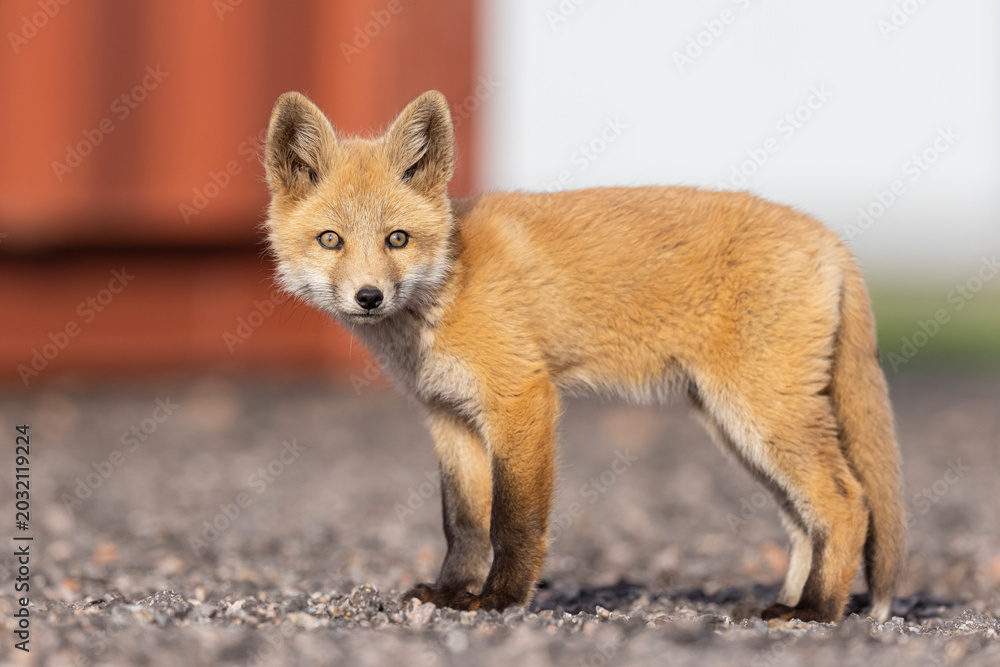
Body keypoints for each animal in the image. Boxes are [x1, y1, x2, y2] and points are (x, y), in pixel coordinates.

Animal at [262, 89, 905, 623]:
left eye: (396, 239)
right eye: (330, 241)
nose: (369, 297)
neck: (450, 282)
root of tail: (830, 238)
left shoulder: (523, 398)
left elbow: (513, 521)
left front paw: (500, 599)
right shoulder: (450, 417)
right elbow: (463, 524)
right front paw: (450, 594)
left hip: (763, 414)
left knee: (848, 503)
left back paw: (819, 612)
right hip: (736, 428)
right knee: (803, 522)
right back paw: (790, 602)